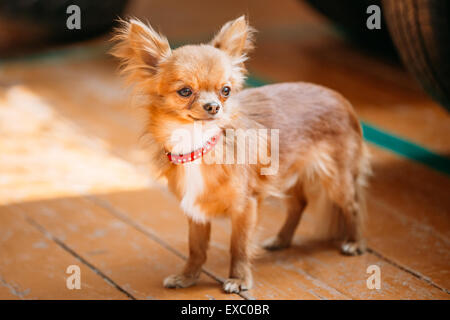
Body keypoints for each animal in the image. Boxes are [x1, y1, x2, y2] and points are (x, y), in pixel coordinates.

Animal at [110, 16, 370, 294]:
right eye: (185, 91)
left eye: (225, 90)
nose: (214, 107)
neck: (199, 142)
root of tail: (340, 97)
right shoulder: (196, 210)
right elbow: (196, 248)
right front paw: (187, 277)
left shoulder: (245, 207)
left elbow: (239, 247)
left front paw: (239, 279)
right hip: (287, 175)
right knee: (299, 204)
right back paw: (281, 240)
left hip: (336, 180)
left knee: (353, 206)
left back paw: (355, 243)